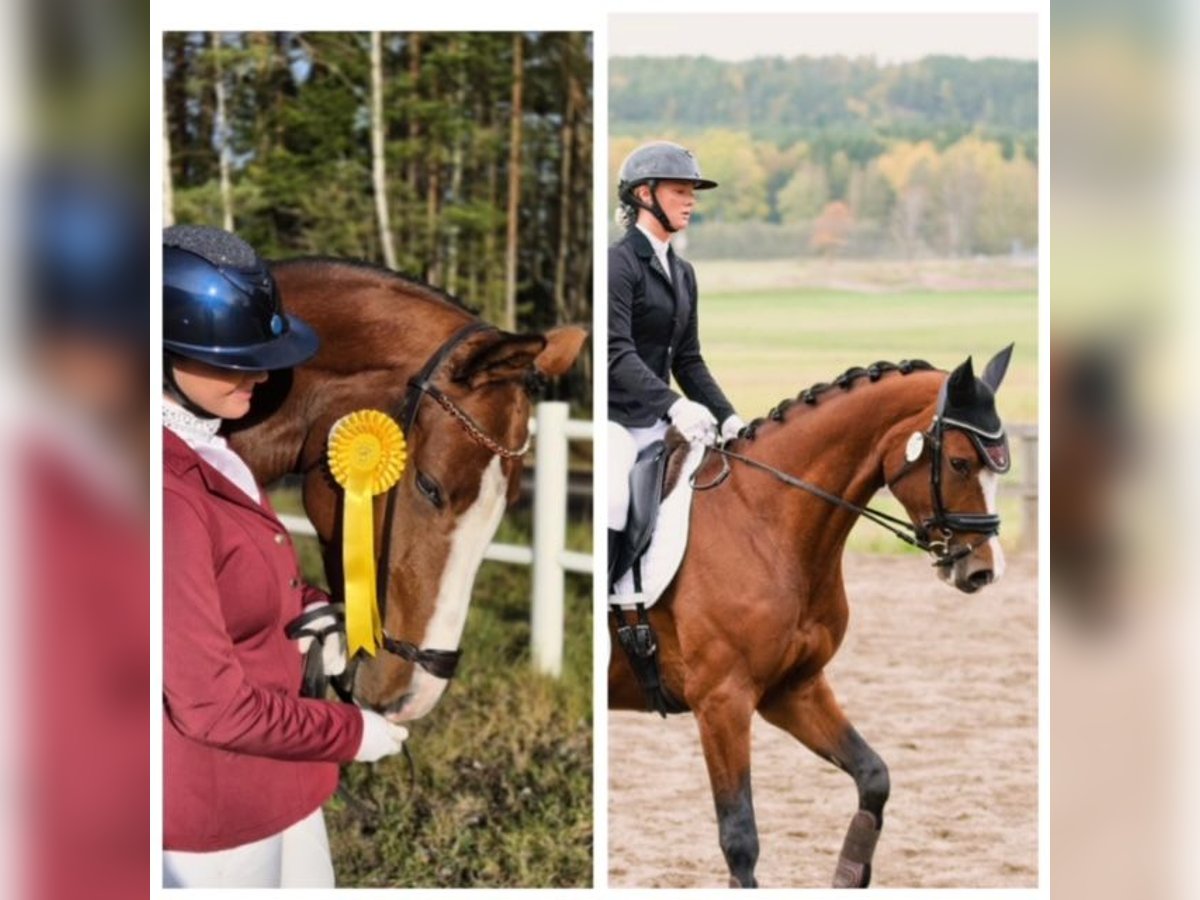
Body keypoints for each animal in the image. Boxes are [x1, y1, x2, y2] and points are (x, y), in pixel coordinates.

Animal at [609, 345, 1012, 888]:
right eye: (959, 462)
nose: (984, 569)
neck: (765, 522)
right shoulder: (722, 701)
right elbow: (740, 839)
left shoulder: (793, 688)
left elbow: (874, 776)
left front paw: (848, 873)